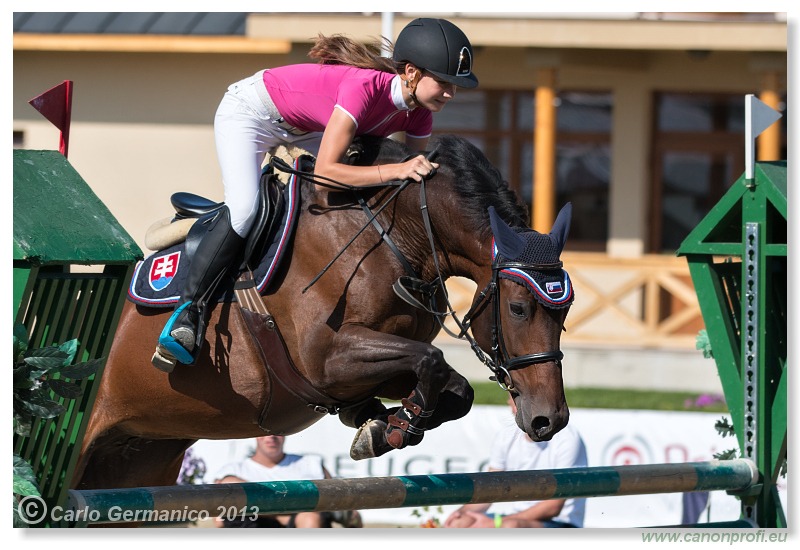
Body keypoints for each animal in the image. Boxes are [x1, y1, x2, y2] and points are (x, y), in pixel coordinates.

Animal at [73, 134, 576, 492]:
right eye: (518, 308)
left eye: (565, 312)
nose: (549, 420)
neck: (398, 234)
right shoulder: (325, 358)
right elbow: (431, 361)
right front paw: (394, 427)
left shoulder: (375, 363)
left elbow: (453, 388)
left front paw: (387, 422)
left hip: (139, 455)